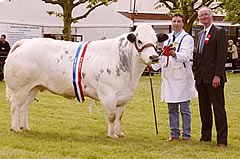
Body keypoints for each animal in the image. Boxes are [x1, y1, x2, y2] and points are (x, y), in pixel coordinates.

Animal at [4, 24, 169, 138]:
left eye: (156, 41)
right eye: (139, 41)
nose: (154, 57)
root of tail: (24, 42)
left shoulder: (124, 97)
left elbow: (119, 116)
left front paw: (119, 133)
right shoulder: (108, 94)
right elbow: (111, 116)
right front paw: (112, 135)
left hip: (33, 87)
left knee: (25, 106)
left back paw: (25, 127)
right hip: (20, 88)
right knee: (15, 105)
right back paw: (15, 128)